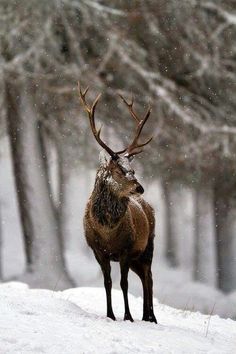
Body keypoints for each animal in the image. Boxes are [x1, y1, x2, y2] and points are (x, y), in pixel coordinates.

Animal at [79, 83, 157, 324]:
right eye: (119, 170)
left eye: (132, 169)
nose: (139, 188)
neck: (108, 233)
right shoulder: (98, 251)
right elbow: (108, 283)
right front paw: (111, 315)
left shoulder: (125, 249)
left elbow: (123, 284)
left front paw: (128, 316)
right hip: (136, 257)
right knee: (144, 276)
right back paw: (146, 315)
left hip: (147, 246)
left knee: (149, 277)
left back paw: (151, 316)